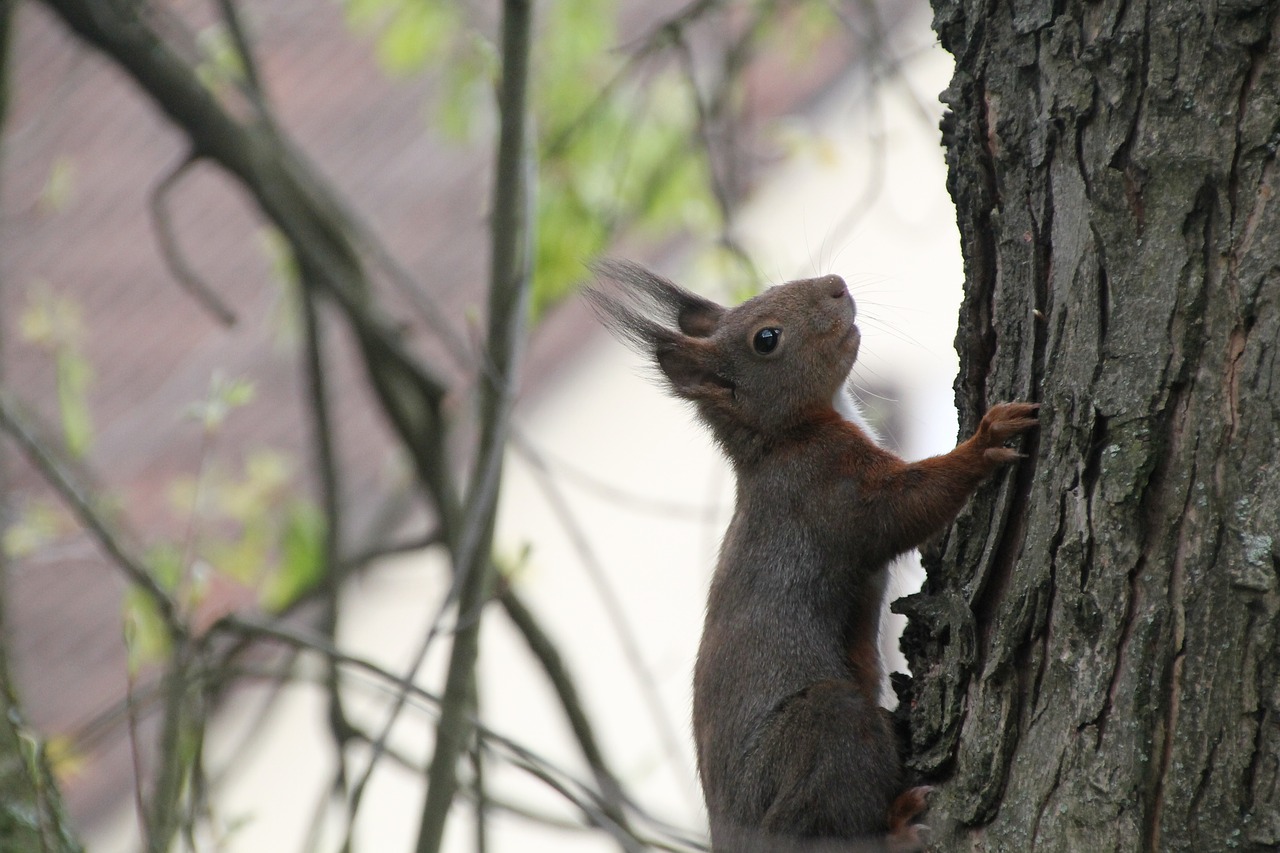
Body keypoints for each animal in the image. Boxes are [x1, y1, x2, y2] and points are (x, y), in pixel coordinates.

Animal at [588, 261, 1039, 850]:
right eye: (766, 339)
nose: (836, 285)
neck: (783, 439)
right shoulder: (828, 491)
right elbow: (906, 508)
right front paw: (984, 441)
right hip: (827, 727)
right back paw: (896, 832)